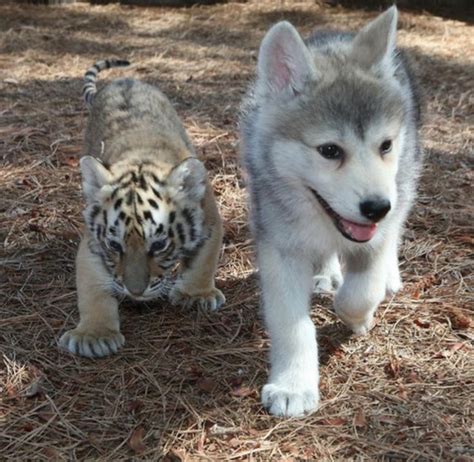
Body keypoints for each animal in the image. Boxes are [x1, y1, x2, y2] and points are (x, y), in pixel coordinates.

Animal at [241, 6, 422, 418]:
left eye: (385, 145)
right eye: (329, 151)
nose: (376, 209)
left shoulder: (377, 231)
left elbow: (360, 291)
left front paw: (359, 315)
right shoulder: (280, 247)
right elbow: (291, 324)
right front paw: (293, 386)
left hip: (405, 181)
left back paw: (387, 277)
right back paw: (326, 274)